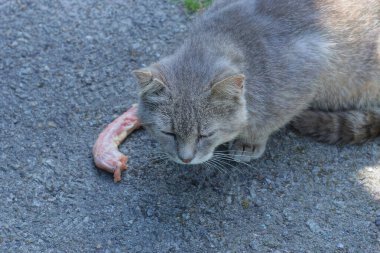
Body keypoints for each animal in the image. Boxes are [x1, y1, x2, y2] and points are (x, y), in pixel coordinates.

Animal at [132, 0, 378, 164]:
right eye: (168, 133)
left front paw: (249, 142)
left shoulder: (308, 74)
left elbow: (268, 121)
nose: (185, 159)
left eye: (206, 134)